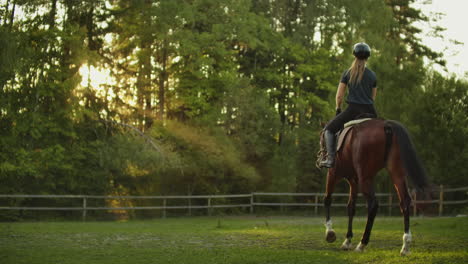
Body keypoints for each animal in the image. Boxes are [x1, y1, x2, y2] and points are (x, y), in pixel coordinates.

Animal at [318, 119, 428, 256]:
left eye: (321, 140)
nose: (321, 159)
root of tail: (387, 125)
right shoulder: (353, 180)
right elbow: (351, 207)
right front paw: (347, 240)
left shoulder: (333, 174)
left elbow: (327, 200)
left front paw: (330, 232)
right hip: (396, 173)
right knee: (405, 202)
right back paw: (405, 246)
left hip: (365, 178)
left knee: (373, 204)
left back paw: (362, 243)